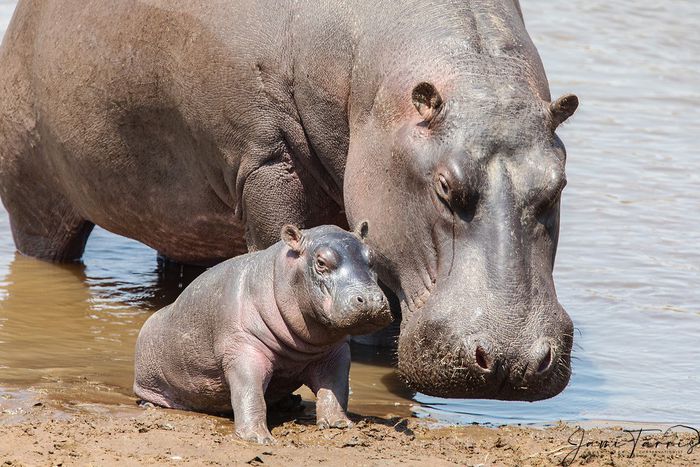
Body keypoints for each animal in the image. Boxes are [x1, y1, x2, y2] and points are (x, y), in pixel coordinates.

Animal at [0, 0, 578, 400]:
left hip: (182, 224)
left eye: (559, 183)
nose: (511, 359)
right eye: (444, 186)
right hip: (36, 203)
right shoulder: (264, 161)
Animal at [134, 223, 392, 444]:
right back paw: (150, 406)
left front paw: (339, 424)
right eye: (320, 261)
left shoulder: (335, 353)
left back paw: (292, 404)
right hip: (149, 381)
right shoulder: (243, 350)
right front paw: (258, 438)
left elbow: (335, 387)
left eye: (373, 258)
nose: (370, 299)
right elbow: (250, 392)